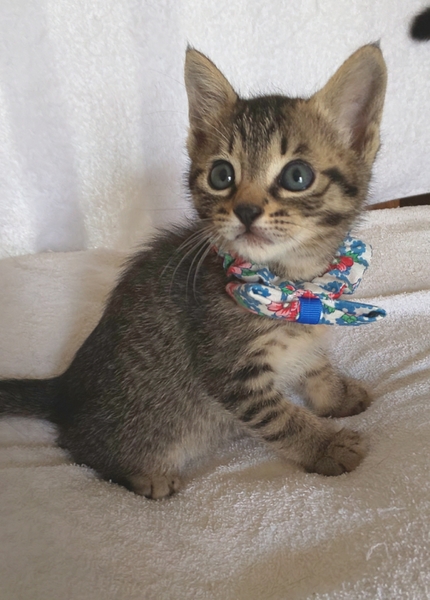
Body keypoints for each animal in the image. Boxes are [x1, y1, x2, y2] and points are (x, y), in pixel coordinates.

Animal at [0, 44, 387, 499]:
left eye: (297, 176)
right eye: (222, 174)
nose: (246, 210)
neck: (294, 282)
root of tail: (65, 389)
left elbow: (314, 364)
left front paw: (335, 396)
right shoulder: (230, 372)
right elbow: (280, 418)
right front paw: (326, 445)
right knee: (81, 449)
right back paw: (144, 475)